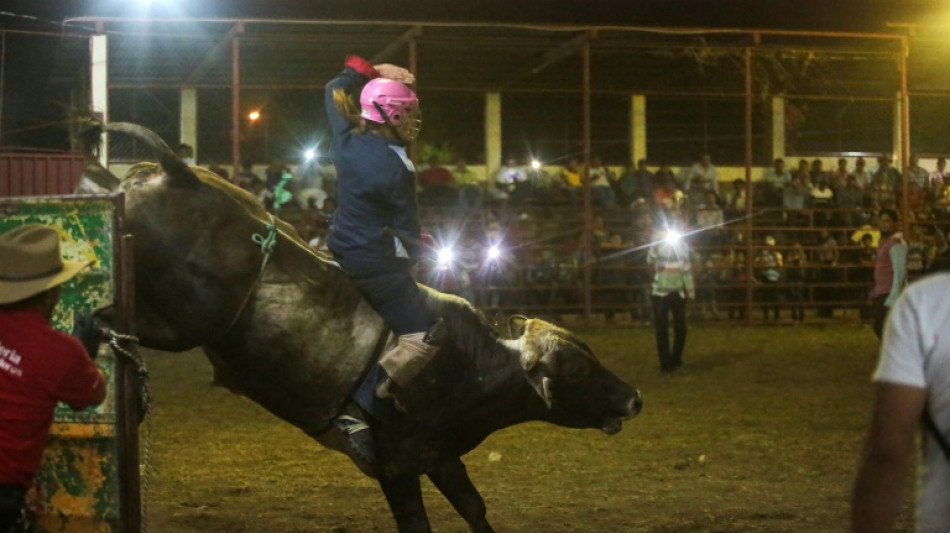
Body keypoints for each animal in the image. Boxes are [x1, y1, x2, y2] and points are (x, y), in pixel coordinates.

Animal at [86, 122, 642, 533]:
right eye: (575, 371)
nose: (634, 397)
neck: (473, 365)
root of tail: (179, 173)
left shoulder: (438, 454)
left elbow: (473, 507)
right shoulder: (396, 465)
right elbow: (418, 524)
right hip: (179, 322)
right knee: (101, 319)